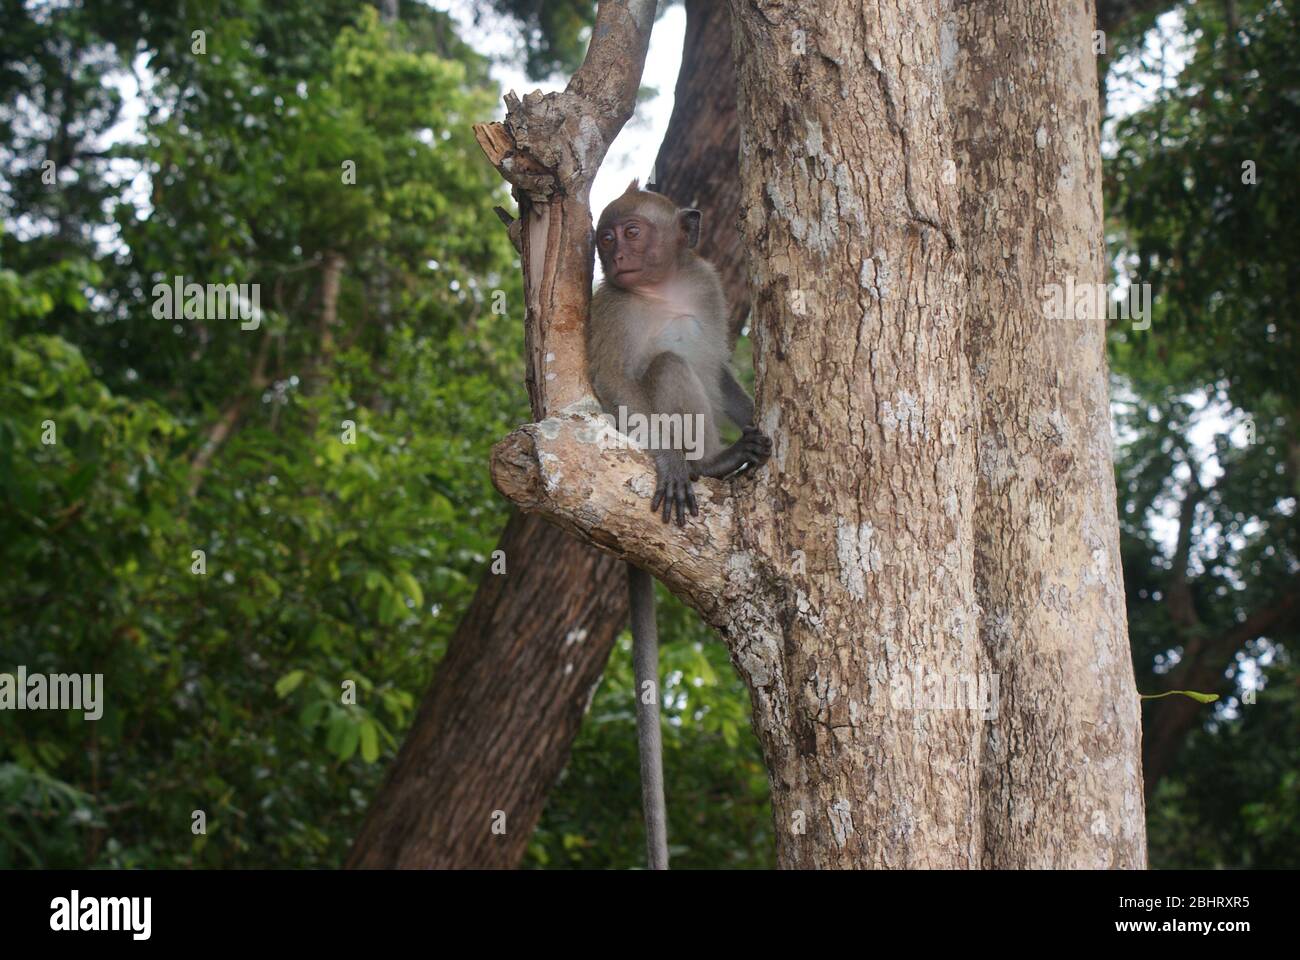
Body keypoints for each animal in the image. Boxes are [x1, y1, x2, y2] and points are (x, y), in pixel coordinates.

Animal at [586, 180, 771, 869]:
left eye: (631, 233)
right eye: (604, 237)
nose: (614, 255)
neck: (659, 288)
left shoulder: (708, 283)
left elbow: (718, 368)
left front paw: (757, 416)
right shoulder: (609, 311)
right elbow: (615, 384)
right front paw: (668, 461)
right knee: (666, 365)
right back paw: (702, 464)